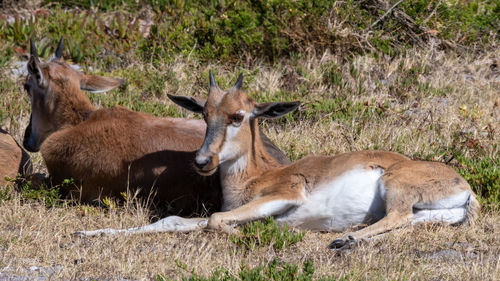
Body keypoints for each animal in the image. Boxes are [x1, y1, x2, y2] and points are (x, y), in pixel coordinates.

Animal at [76, 71, 478, 247]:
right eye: (204, 113)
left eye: (238, 115)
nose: (202, 161)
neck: (255, 176)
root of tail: (465, 186)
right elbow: (173, 221)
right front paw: (87, 232)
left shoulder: (285, 195)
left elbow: (216, 220)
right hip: (431, 214)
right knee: (405, 221)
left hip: (392, 186)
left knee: (396, 217)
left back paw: (344, 239)